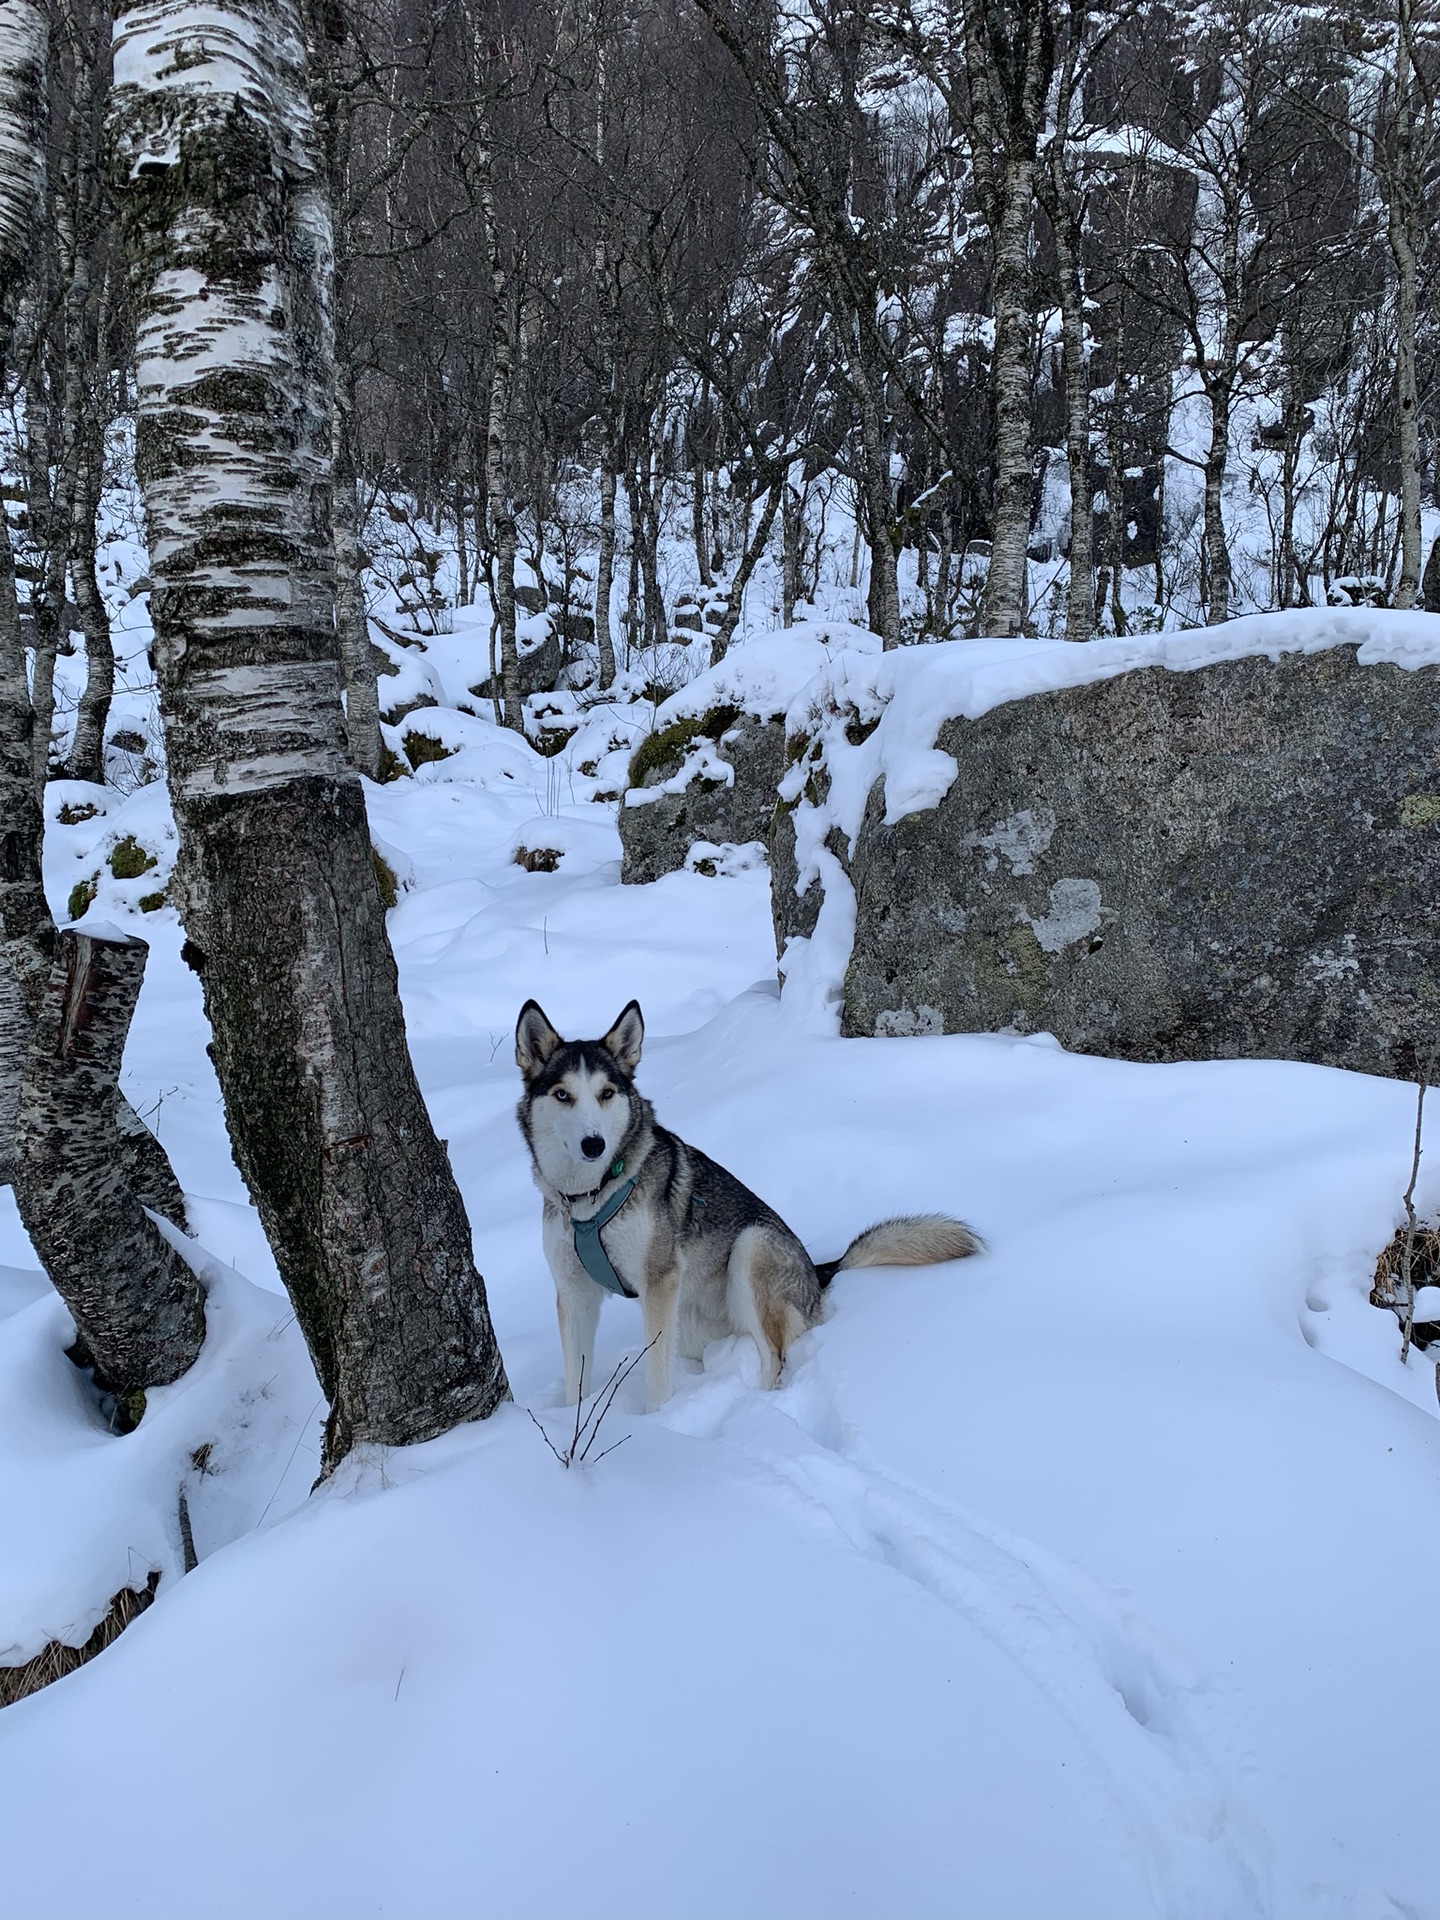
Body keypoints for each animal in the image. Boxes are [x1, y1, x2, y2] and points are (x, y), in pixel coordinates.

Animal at [514, 1006, 983, 1413]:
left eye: (606, 1094)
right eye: (563, 1095)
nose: (593, 1144)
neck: (589, 1198)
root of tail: (817, 1272)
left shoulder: (659, 1282)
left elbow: (658, 1380)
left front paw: (657, 1427)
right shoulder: (574, 1293)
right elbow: (575, 1379)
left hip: (751, 1249)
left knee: (773, 1356)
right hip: (692, 1320)